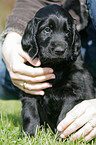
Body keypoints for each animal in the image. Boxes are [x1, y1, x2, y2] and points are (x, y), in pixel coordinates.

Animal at [20, 4, 94, 136]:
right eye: (47, 30)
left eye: (68, 32)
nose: (60, 50)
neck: (55, 67)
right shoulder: (30, 90)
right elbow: (30, 114)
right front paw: (28, 135)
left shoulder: (73, 92)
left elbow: (65, 116)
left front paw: (61, 136)